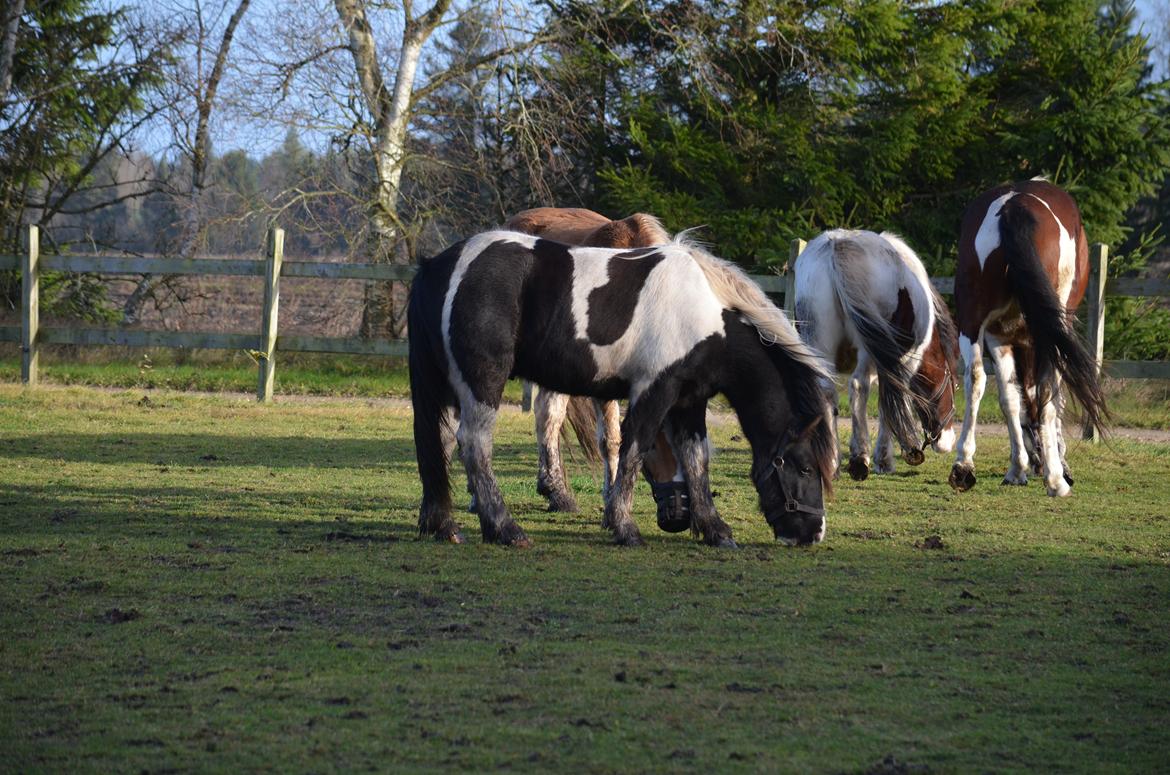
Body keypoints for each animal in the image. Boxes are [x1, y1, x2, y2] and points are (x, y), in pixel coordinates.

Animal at [945, 180, 1109, 498]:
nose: (1037, 465)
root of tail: (1013, 206)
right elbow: (1048, 402)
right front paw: (1053, 464)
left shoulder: (998, 337)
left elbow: (1010, 399)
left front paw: (1016, 468)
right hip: (1050, 333)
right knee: (1047, 392)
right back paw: (1056, 481)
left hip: (972, 322)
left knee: (975, 379)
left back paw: (964, 466)